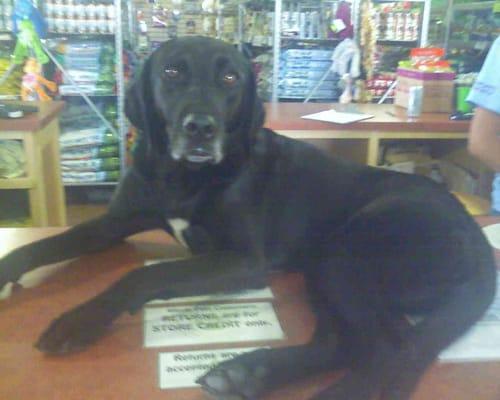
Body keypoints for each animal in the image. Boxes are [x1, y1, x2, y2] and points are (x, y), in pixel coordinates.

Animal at [0, 36, 496, 398]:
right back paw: (248, 373)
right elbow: (43, 245)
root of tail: (475, 235)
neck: (183, 177)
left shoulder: (243, 259)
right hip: (328, 269)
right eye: (172, 71)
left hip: (346, 253)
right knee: (342, 343)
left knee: (392, 350)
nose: (201, 128)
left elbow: (145, 275)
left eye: (230, 76)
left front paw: (79, 320)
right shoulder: (113, 223)